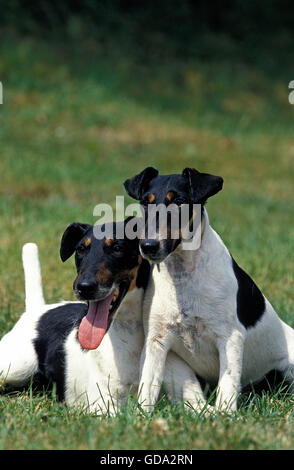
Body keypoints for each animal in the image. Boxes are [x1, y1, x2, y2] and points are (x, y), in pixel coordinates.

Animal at [0, 218, 202, 414]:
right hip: (15, 367)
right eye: (81, 249)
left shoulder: (192, 400)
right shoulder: (103, 402)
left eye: (117, 248)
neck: (129, 336)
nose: (84, 287)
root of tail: (36, 309)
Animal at [123, 166, 294, 412]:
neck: (183, 277)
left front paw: (226, 417)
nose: (148, 246)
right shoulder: (156, 341)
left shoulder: (230, 338)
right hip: (177, 366)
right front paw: (141, 416)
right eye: (146, 202)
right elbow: (147, 387)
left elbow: (228, 386)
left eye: (179, 201)